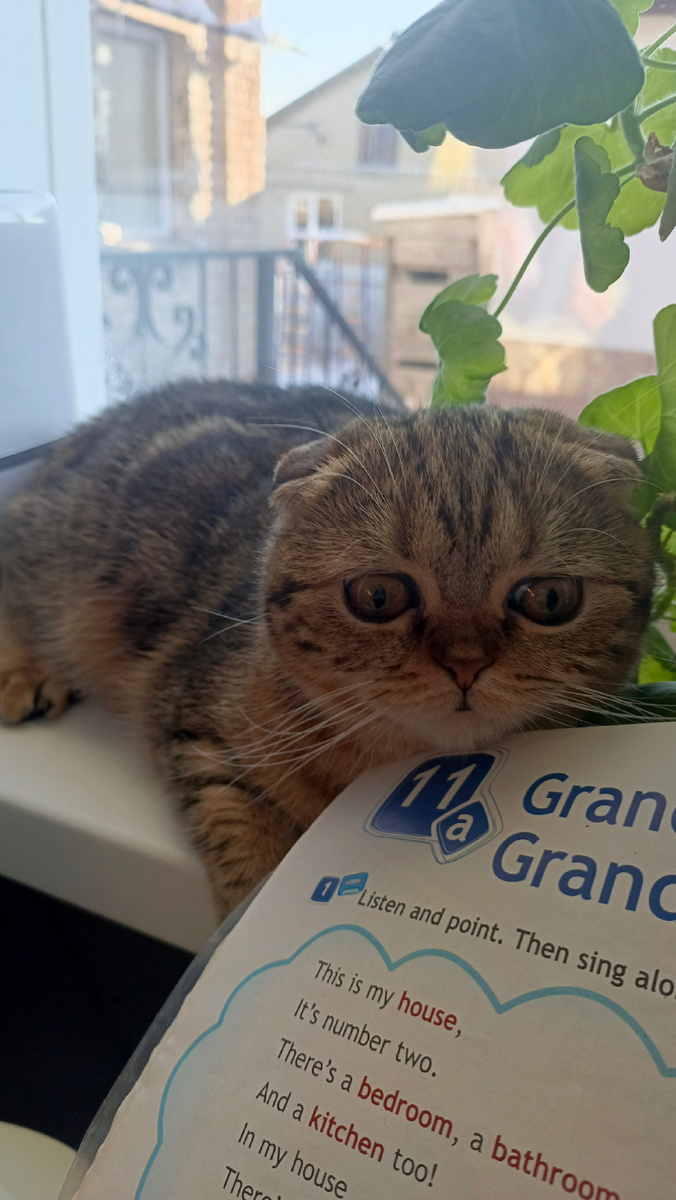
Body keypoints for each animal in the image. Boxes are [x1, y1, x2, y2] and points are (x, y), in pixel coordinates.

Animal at [0, 381, 654, 917]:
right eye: (378, 595)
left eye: (549, 598)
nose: (465, 665)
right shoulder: (194, 730)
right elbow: (245, 841)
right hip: (59, 554)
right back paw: (23, 672)